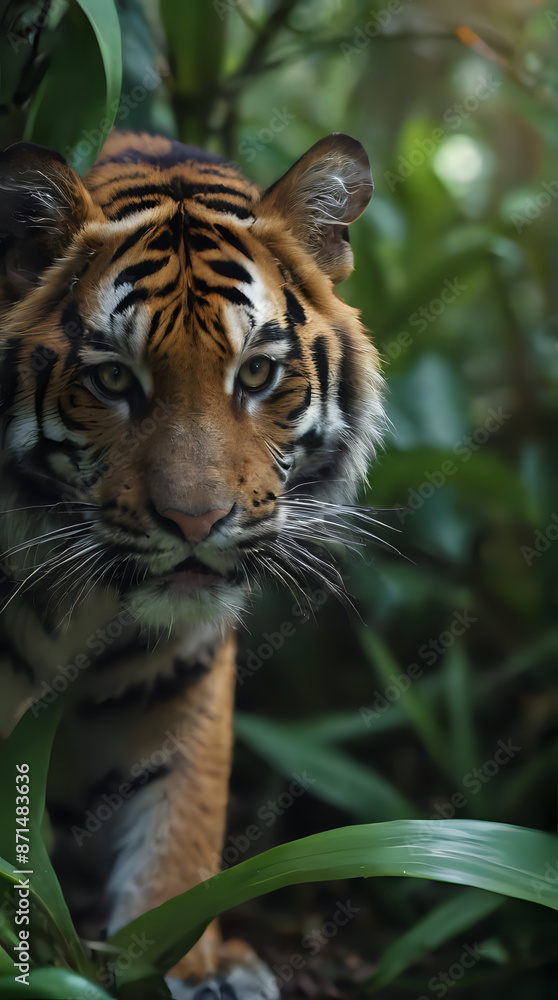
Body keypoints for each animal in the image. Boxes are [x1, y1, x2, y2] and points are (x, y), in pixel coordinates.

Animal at [0, 130, 384, 999]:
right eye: (113, 378)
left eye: (257, 373)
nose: (195, 521)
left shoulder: (185, 678)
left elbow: (180, 832)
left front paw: (188, 968)